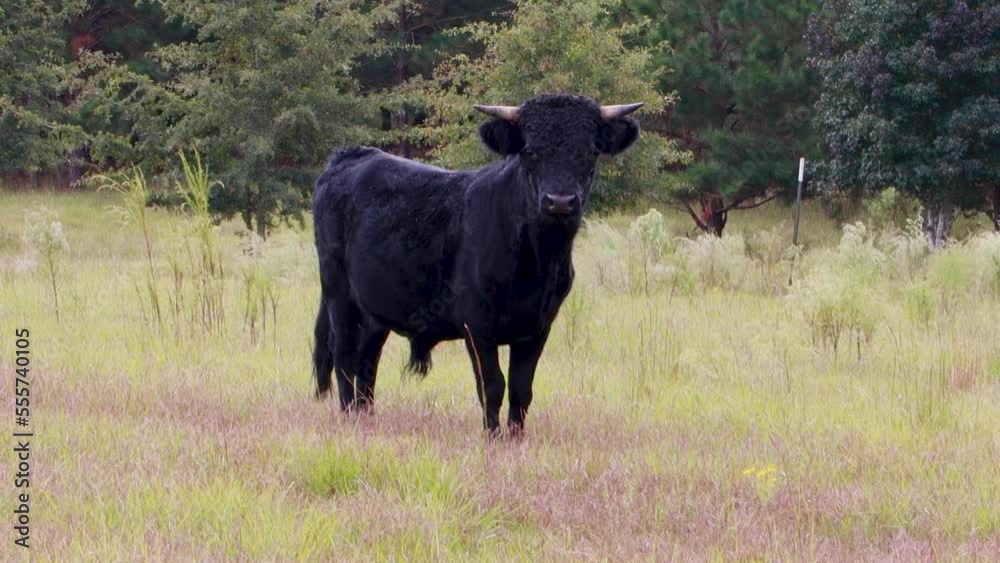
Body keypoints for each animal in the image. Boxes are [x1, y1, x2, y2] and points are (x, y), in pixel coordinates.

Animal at [312, 93, 643, 434]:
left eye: (590, 152)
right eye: (529, 151)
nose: (560, 201)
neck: (538, 259)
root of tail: (353, 155)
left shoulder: (539, 326)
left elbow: (522, 388)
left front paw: (515, 437)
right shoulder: (477, 325)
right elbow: (492, 385)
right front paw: (492, 436)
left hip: (376, 308)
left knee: (367, 360)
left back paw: (365, 416)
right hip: (338, 293)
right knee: (345, 356)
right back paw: (348, 414)